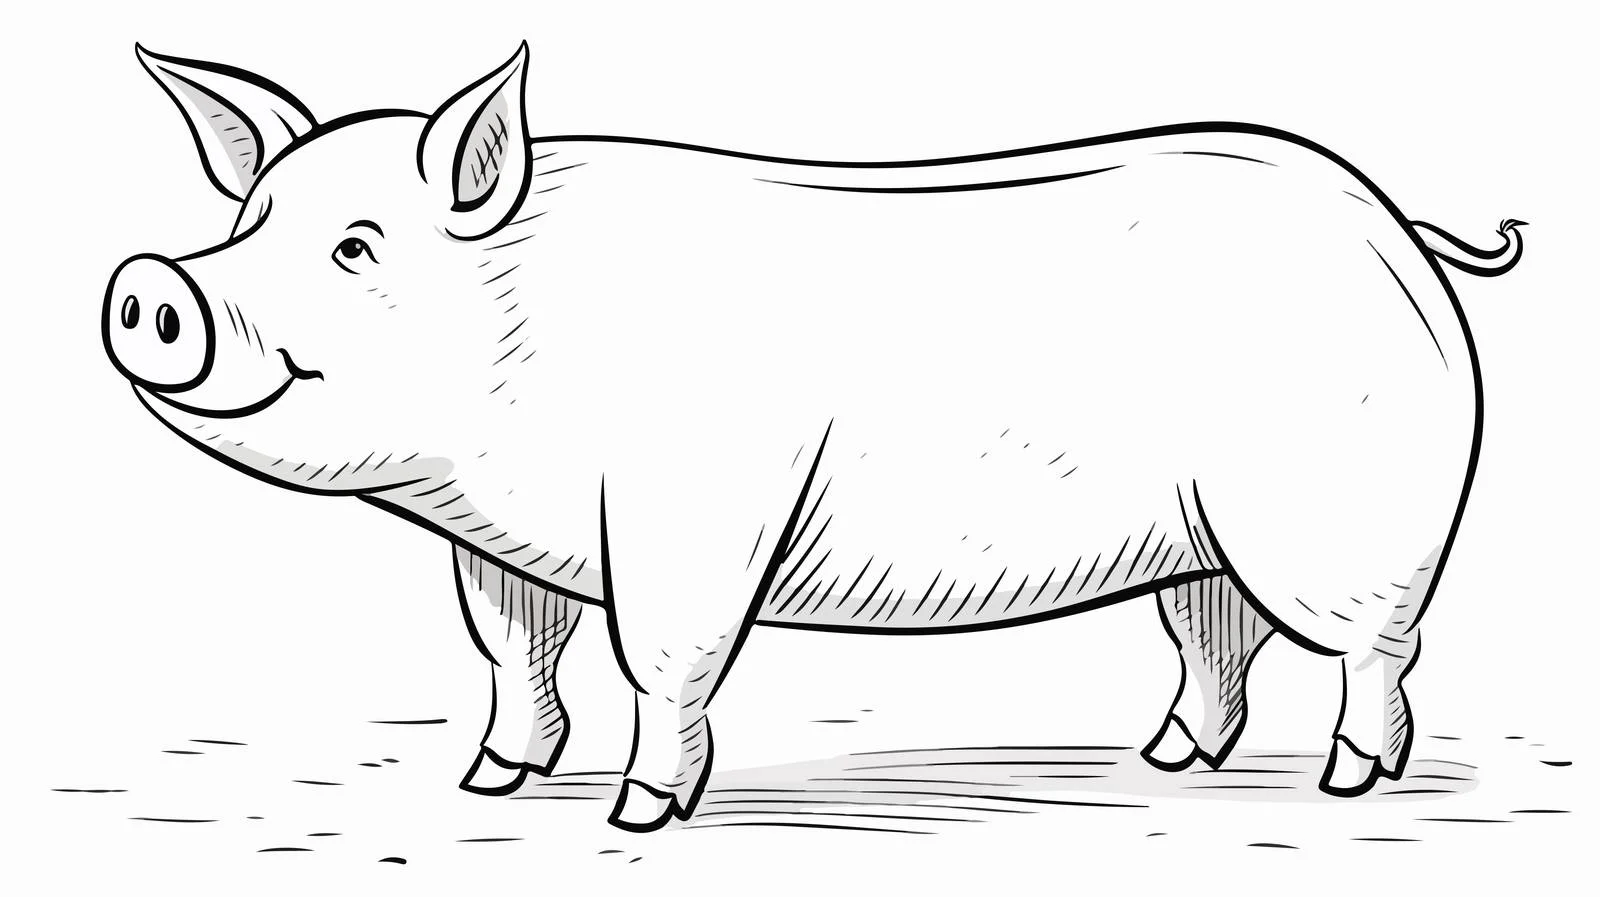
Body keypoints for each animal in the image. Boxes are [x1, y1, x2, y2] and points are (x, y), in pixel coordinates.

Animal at [104, 43, 1525, 832]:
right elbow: (514, 652)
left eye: (357, 248)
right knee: (1215, 647)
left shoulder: (693, 512)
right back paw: (1168, 758)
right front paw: (487, 786)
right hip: (1200, 545)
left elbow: (660, 662)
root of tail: (1394, 223)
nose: (149, 284)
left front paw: (639, 817)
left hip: (1344, 525)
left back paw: (1347, 784)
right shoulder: (505, 542)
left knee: (1378, 651)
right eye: (247, 222)